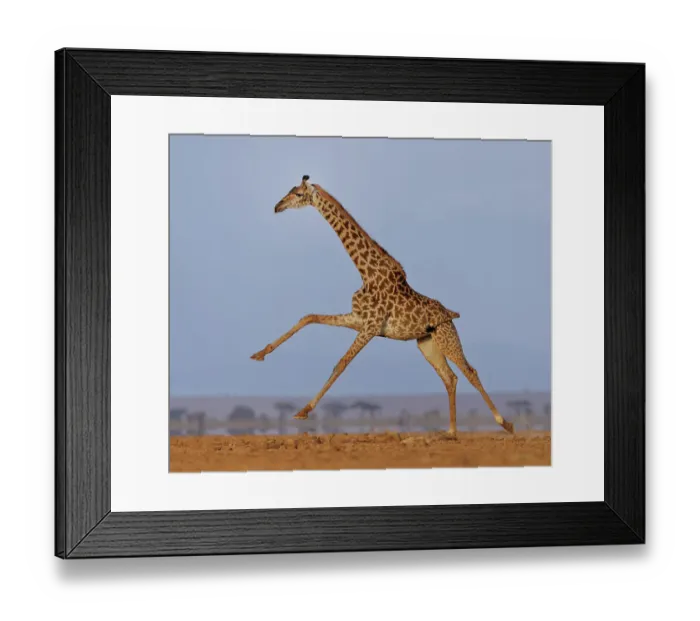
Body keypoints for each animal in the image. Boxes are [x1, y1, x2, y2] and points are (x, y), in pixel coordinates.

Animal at [251, 175, 515, 435]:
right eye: (289, 190)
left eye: (297, 194)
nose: (277, 206)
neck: (367, 272)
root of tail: (451, 314)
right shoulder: (359, 320)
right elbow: (309, 317)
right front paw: (260, 354)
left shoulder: (370, 326)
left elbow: (341, 363)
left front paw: (303, 411)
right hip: (427, 343)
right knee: (450, 377)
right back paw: (450, 432)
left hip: (446, 337)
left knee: (470, 372)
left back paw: (505, 423)